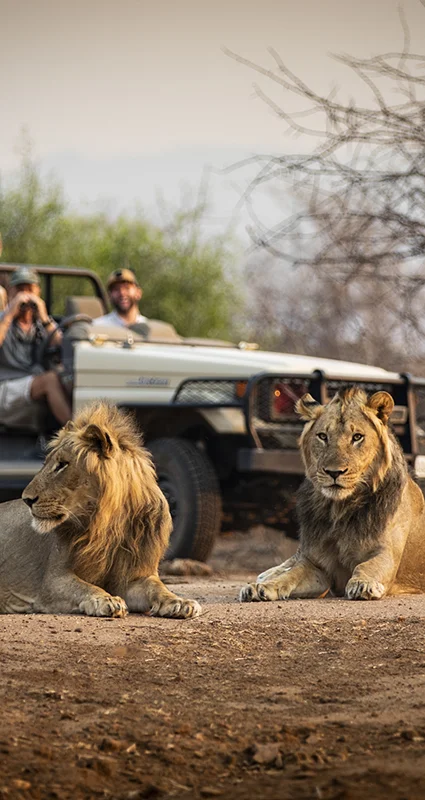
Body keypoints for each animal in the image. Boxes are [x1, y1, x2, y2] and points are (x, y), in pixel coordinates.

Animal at [0, 402, 201, 618]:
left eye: (62, 464)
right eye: (46, 464)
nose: (27, 499)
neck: (107, 524)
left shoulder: (133, 577)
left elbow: (157, 587)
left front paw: (179, 602)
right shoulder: (52, 581)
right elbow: (82, 587)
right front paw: (105, 599)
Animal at [240, 388, 425, 603]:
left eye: (357, 437)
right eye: (322, 436)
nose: (334, 472)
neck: (340, 509)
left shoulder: (387, 554)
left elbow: (367, 566)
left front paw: (363, 584)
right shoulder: (317, 565)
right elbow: (291, 574)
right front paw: (261, 587)